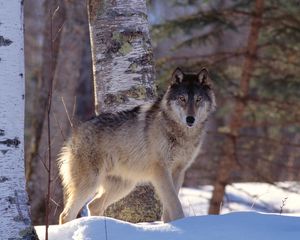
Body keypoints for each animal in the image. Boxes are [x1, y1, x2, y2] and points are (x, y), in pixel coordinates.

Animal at [57, 67, 216, 223]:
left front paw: (171, 226)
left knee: (93, 205)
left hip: (124, 186)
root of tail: (75, 133)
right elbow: (175, 204)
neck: (182, 134)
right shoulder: (161, 171)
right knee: (65, 215)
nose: (190, 119)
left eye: (198, 99)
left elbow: (169, 207)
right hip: (90, 184)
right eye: (182, 99)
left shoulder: (178, 172)